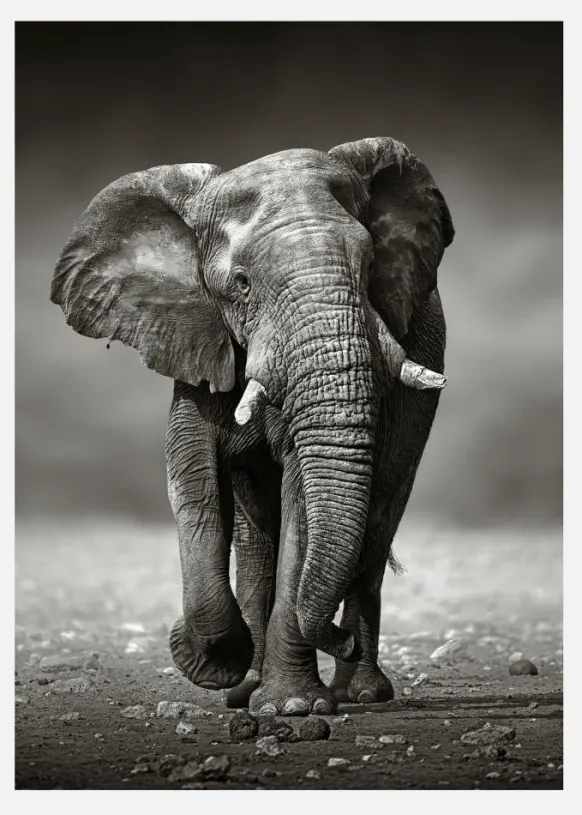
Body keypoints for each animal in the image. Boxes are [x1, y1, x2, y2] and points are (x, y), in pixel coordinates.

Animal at [50, 137, 454, 715]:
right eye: (240, 285)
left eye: (371, 264)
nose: (338, 639)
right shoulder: (197, 340)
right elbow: (193, 481)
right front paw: (216, 663)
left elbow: (301, 499)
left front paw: (293, 707)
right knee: (256, 538)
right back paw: (247, 689)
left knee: (376, 524)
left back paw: (359, 693)